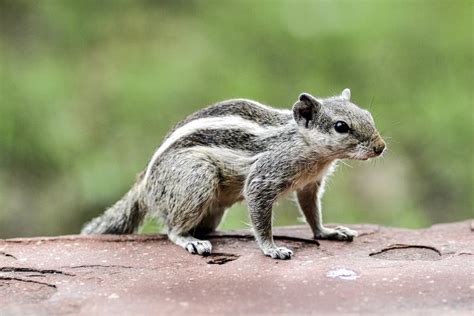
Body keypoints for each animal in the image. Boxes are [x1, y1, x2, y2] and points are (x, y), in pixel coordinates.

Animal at [81, 89, 386, 260]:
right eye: (340, 126)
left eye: (368, 115)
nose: (381, 147)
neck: (303, 144)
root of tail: (144, 183)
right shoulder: (264, 177)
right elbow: (260, 216)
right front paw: (271, 248)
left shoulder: (309, 185)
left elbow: (312, 211)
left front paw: (327, 232)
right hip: (197, 178)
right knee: (172, 230)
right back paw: (191, 241)